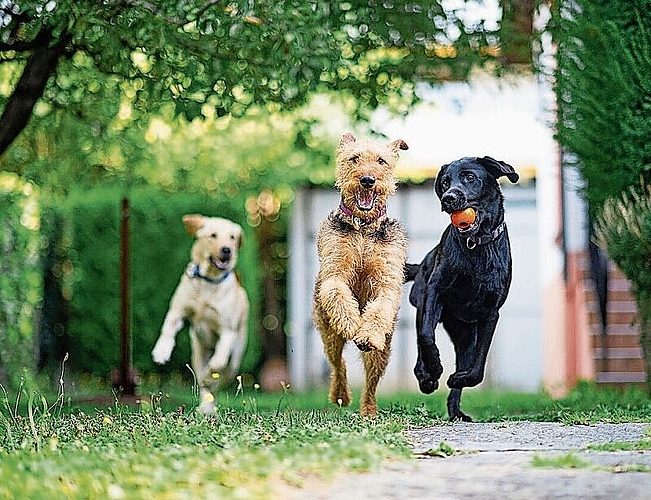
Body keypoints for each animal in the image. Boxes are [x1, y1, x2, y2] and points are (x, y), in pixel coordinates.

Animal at [314, 133, 410, 418]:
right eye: (354, 158)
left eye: (381, 161)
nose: (368, 179)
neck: (364, 227)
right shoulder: (335, 272)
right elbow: (337, 293)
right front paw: (351, 323)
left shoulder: (386, 283)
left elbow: (378, 310)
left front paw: (365, 332)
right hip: (328, 334)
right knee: (338, 365)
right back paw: (341, 395)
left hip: (383, 349)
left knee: (371, 382)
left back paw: (368, 410)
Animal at [408, 157, 520, 422]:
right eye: (445, 182)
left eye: (470, 177)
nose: (448, 198)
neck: (475, 244)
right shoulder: (434, 291)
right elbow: (426, 336)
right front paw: (435, 368)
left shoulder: (491, 313)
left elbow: (477, 368)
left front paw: (458, 378)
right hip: (422, 304)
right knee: (419, 344)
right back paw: (426, 377)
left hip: (466, 335)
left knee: (465, 362)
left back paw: (455, 410)